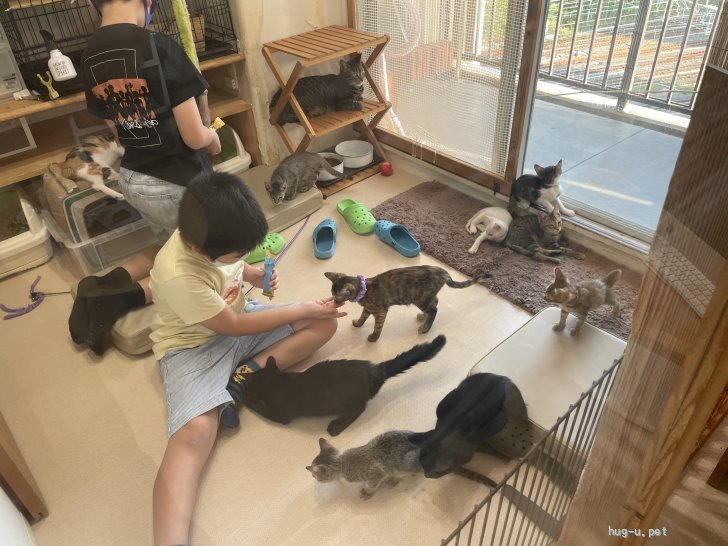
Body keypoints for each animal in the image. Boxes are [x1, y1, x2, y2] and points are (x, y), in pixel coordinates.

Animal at [241, 335, 446, 436]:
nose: (244, 384)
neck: (278, 381)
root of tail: (375, 370)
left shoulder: (281, 415)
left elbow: (261, 409)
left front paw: (246, 399)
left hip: (341, 401)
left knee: (360, 409)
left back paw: (335, 427)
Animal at [325, 266, 490, 342]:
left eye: (336, 297)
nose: (335, 302)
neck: (364, 289)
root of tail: (443, 271)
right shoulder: (368, 308)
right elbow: (363, 317)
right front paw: (358, 324)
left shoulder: (381, 311)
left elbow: (377, 326)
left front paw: (374, 337)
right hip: (425, 297)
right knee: (435, 302)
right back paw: (423, 317)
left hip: (420, 298)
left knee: (434, 309)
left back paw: (425, 328)